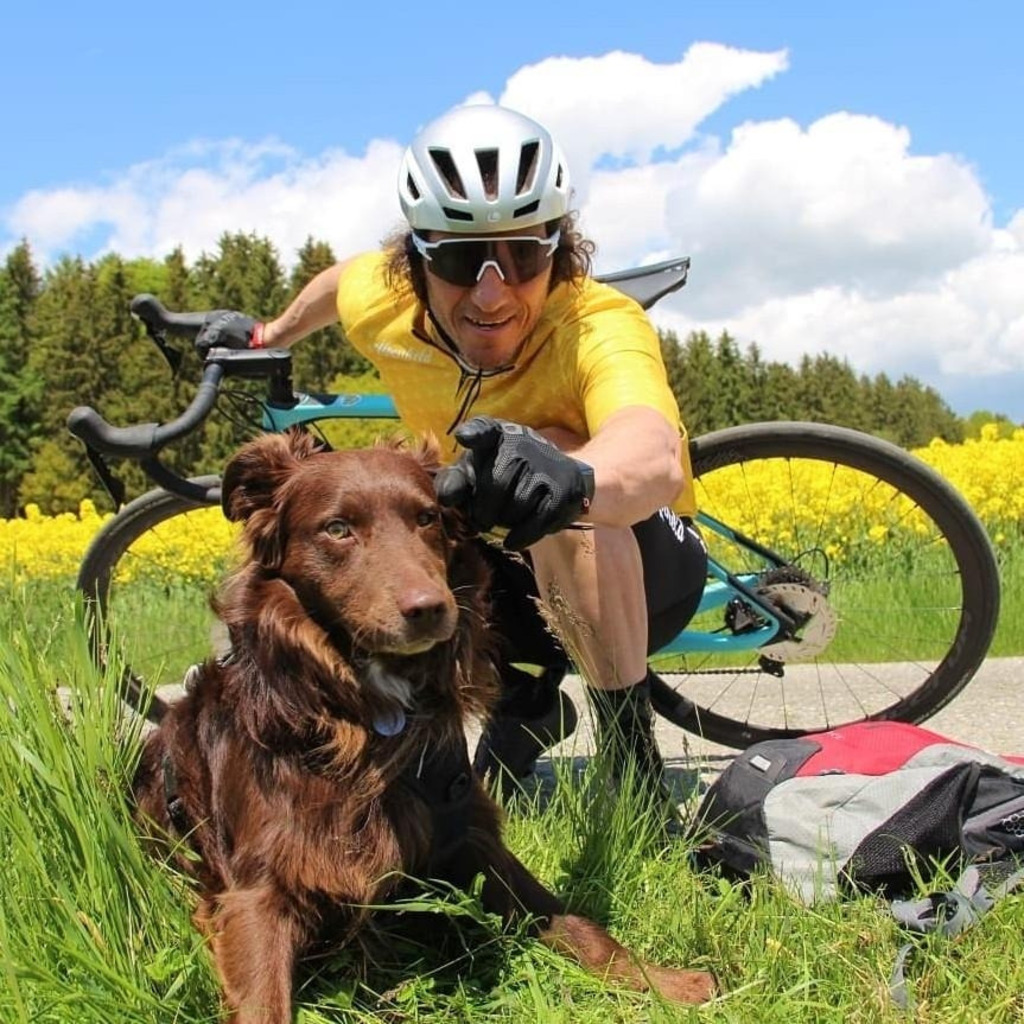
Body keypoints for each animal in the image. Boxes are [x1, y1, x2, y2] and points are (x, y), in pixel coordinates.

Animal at [132, 432, 716, 1024]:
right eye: (337, 528)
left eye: (427, 517)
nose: (431, 609)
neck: (363, 716)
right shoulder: (257, 888)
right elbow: (262, 1003)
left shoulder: (471, 834)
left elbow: (578, 925)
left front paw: (666, 982)